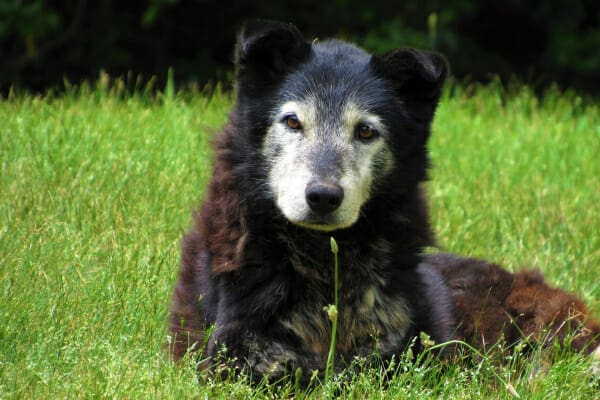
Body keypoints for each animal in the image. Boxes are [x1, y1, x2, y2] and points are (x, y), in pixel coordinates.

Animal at [169, 21, 600, 382]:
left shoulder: (400, 360)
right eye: (292, 122)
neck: (324, 262)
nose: (323, 197)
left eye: (365, 131)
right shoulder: (233, 354)